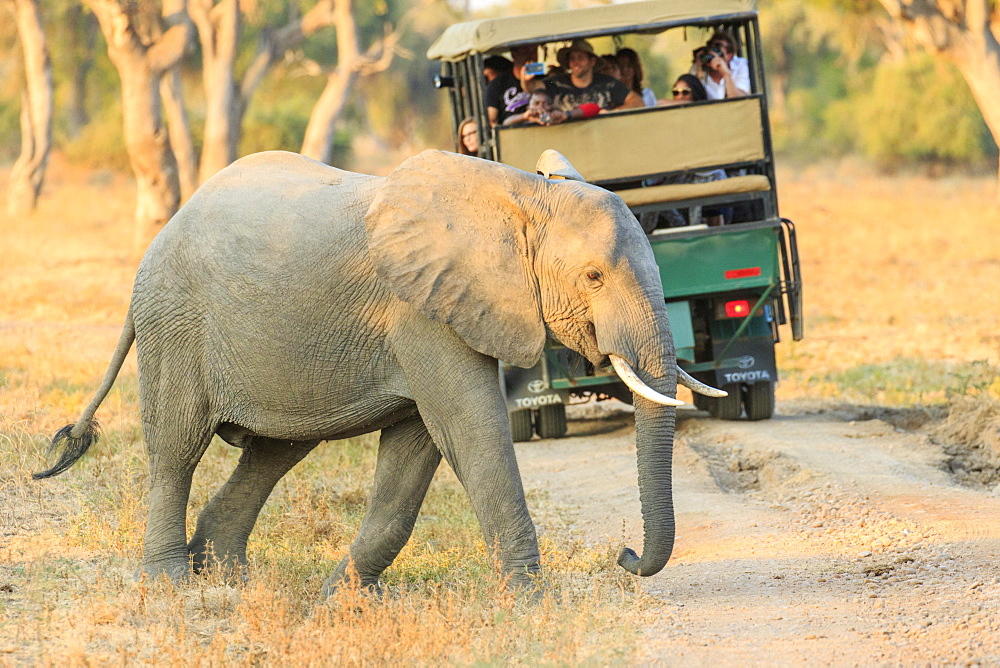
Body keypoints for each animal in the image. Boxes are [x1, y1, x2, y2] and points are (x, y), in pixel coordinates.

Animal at [35, 149, 724, 592]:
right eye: (594, 276)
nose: (625, 554)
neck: (523, 195)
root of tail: (164, 233)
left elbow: (418, 450)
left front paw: (337, 601)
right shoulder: (423, 311)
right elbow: (469, 428)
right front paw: (532, 602)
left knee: (274, 451)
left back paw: (226, 575)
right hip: (175, 324)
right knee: (177, 448)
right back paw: (173, 586)